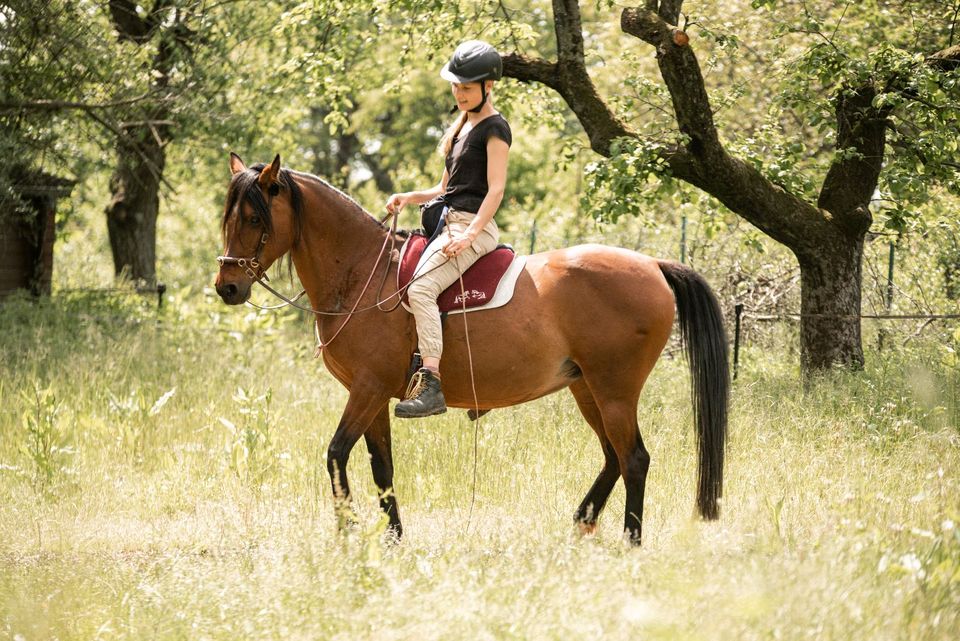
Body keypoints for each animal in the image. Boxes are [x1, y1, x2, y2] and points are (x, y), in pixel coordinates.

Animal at [216, 152, 728, 544]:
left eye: (255, 218)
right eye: (228, 218)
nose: (227, 287)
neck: (362, 274)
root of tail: (653, 265)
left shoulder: (367, 388)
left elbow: (336, 455)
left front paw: (347, 533)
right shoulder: (375, 397)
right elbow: (382, 468)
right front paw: (393, 540)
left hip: (614, 390)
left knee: (634, 459)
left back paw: (630, 541)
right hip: (587, 388)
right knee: (613, 458)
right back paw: (582, 522)